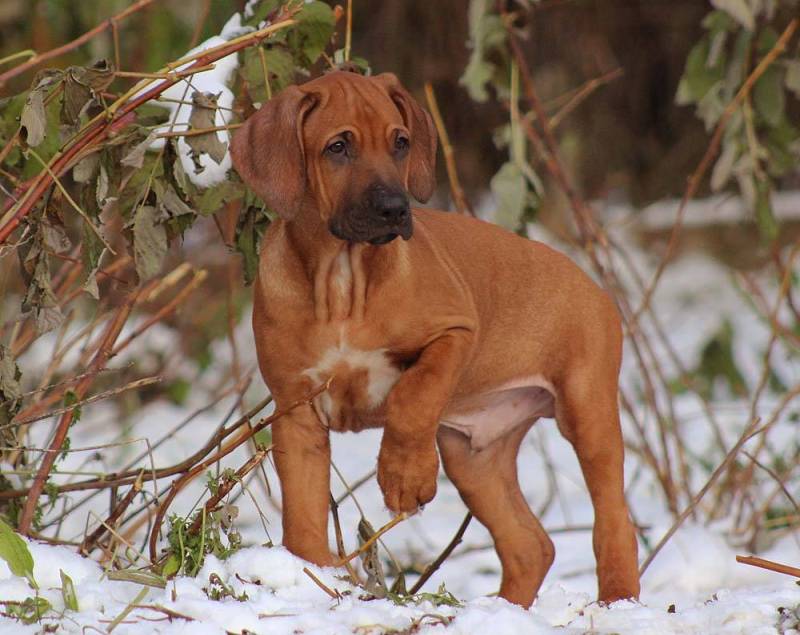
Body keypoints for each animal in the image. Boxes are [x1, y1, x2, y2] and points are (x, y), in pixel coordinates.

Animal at [230, 69, 636, 608]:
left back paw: (619, 600)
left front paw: (405, 476)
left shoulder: (456, 332)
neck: (343, 280)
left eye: (400, 143)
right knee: (530, 545)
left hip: (587, 413)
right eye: (338, 147)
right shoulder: (296, 410)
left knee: (614, 521)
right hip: (475, 456)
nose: (395, 209)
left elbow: (414, 396)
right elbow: (301, 512)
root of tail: (595, 285)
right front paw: (310, 575)